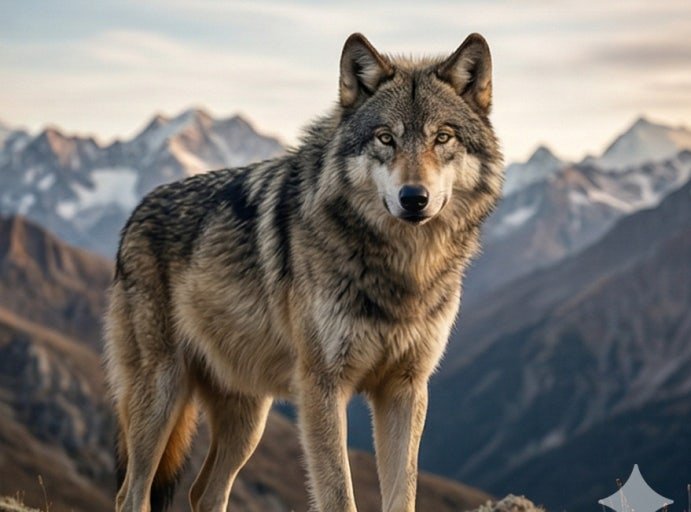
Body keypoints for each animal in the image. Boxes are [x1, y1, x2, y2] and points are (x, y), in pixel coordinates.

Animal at [105, 32, 503, 512]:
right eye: (385, 138)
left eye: (442, 137)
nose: (414, 198)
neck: (402, 268)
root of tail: (134, 214)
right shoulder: (322, 387)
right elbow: (338, 495)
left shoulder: (405, 389)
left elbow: (403, 493)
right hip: (162, 397)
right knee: (131, 492)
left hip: (248, 419)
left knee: (204, 492)